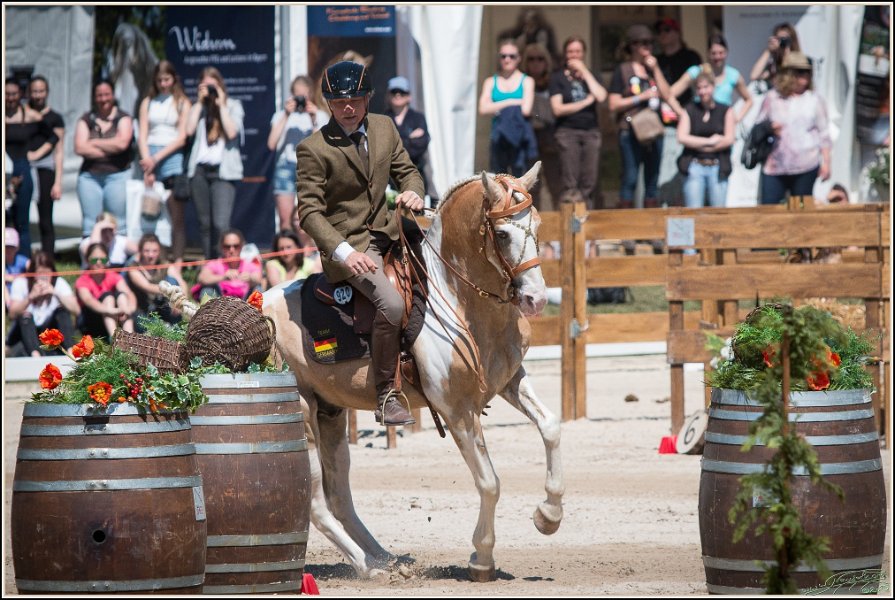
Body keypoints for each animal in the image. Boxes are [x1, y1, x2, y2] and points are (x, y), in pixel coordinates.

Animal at [262, 162, 564, 581]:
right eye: (502, 234)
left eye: (537, 224)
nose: (535, 299)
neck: (457, 298)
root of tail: (255, 307)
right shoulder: (456, 409)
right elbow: (489, 482)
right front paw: (481, 558)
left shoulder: (508, 382)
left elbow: (550, 426)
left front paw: (549, 515)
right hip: (301, 415)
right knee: (317, 503)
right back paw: (366, 568)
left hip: (330, 415)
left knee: (340, 498)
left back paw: (382, 558)